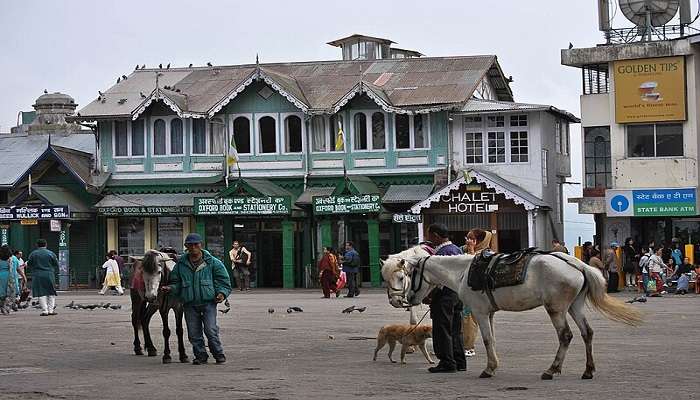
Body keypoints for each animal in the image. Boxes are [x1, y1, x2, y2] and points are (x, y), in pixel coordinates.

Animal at [380, 247, 644, 382]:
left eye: (405, 276)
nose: (403, 301)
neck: (463, 272)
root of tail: (577, 264)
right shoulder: (490, 313)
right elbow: (493, 340)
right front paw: (494, 365)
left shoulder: (480, 312)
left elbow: (487, 340)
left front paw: (488, 369)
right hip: (574, 307)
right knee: (587, 333)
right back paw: (588, 370)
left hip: (556, 309)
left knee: (566, 336)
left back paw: (551, 370)